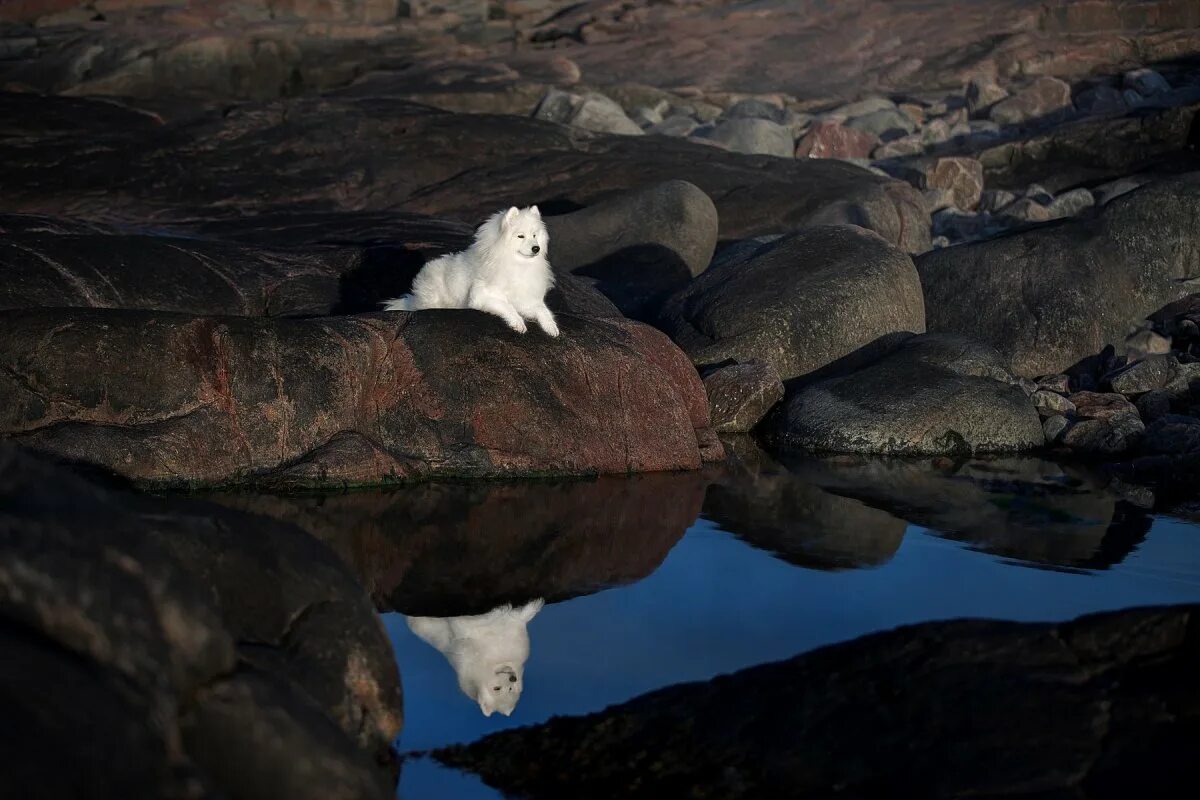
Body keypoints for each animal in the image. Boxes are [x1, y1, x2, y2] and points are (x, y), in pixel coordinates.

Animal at [381, 205, 559, 335]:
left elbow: (542, 310)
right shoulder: (483, 296)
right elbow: (508, 306)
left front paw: (551, 327)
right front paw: (517, 323)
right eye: (520, 236)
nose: (536, 248)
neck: (516, 264)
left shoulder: (526, 299)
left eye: (535, 235)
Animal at [410, 597, 547, 714]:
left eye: (510, 689)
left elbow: (518, 617)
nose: (513, 678)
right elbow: (465, 622)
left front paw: (534, 605)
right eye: (497, 688)